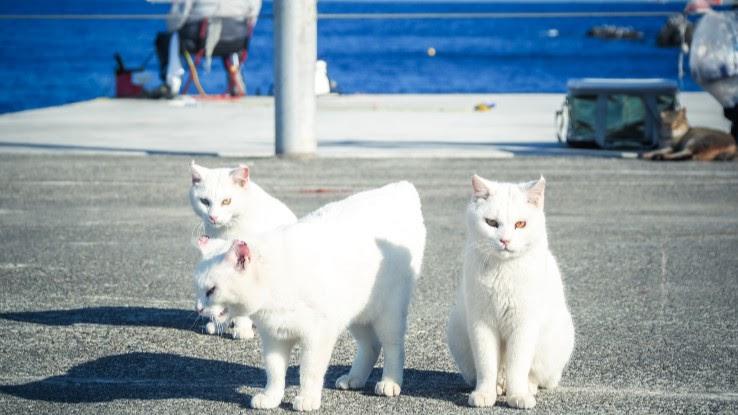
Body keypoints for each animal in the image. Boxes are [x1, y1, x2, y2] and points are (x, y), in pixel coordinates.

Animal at [188, 161, 298, 340]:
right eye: (204, 201)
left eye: (226, 201)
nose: (213, 217)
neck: (228, 229)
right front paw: (219, 323)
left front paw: (242, 329)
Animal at [193, 183, 426, 412]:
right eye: (198, 289)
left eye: (211, 290)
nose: (199, 308)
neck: (276, 282)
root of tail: (400, 187)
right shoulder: (274, 337)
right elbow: (274, 372)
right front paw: (271, 398)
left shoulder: (317, 336)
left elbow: (309, 372)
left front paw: (307, 399)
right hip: (356, 314)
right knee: (372, 346)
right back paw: (354, 378)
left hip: (388, 314)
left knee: (394, 347)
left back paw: (390, 382)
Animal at [446, 175, 572, 410]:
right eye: (491, 223)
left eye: (520, 224)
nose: (505, 240)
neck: (503, 272)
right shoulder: (481, 324)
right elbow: (487, 364)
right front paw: (484, 394)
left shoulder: (523, 325)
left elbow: (518, 365)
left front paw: (519, 396)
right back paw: (498, 387)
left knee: (534, 376)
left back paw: (527, 387)